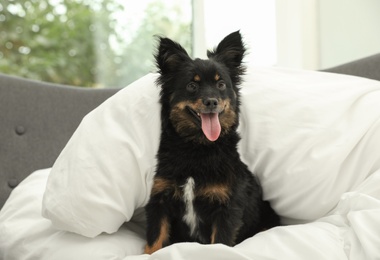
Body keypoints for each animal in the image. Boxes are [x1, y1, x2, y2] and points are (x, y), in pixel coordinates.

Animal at [142, 30, 280, 254]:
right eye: (192, 86)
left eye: (221, 84)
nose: (212, 102)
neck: (197, 147)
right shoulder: (159, 201)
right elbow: (154, 241)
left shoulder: (227, 208)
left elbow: (220, 243)